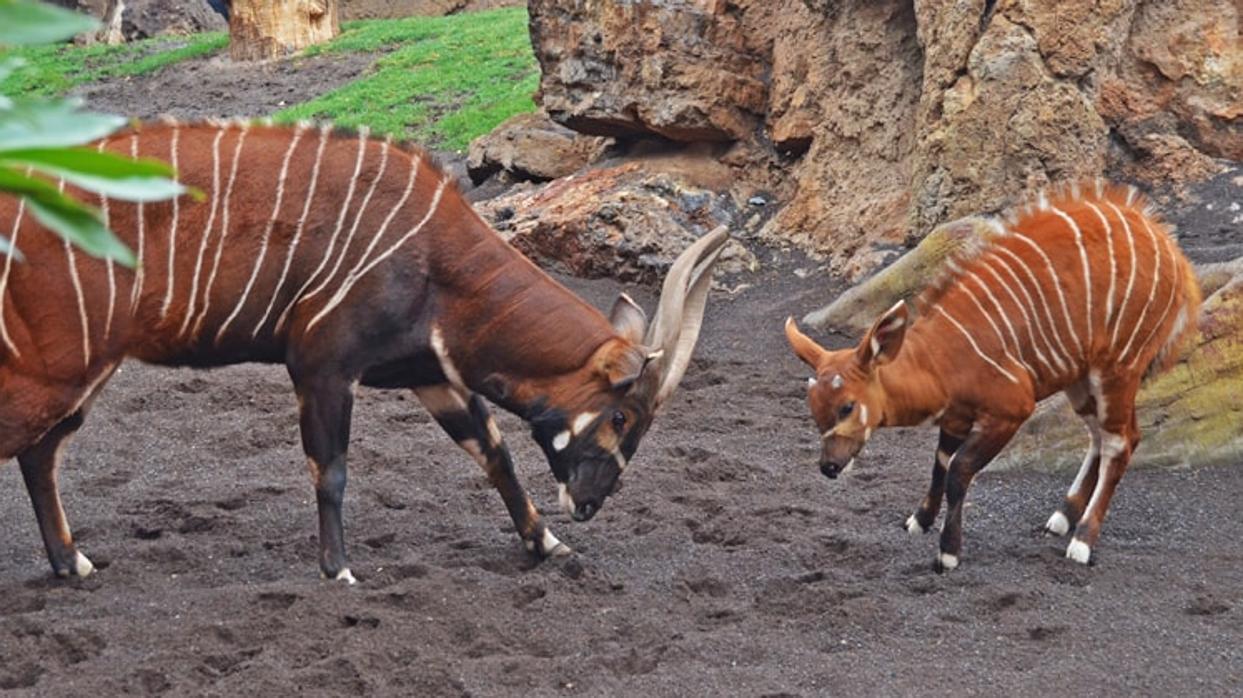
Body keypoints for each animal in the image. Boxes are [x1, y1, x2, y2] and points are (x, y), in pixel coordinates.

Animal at [0, 119, 725, 581]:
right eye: (623, 416)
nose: (591, 502)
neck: (436, 259)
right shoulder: (322, 368)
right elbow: (333, 471)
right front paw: (340, 571)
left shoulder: (431, 374)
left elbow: (495, 456)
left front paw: (549, 546)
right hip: (57, 368)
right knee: (30, 445)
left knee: (40, 453)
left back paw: (74, 563)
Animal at [785, 182, 1203, 568]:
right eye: (814, 409)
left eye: (847, 406)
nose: (829, 466)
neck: (940, 359)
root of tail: (1173, 253)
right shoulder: (955, 418)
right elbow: (940, 463)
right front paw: (918, 521)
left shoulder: (1010, 410)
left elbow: (958, 471)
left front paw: (948, 553)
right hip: (1080, 378)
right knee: (1107, 434)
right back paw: (1062, 517)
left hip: (1118, 367)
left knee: (1121, 442)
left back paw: (1082, 541)